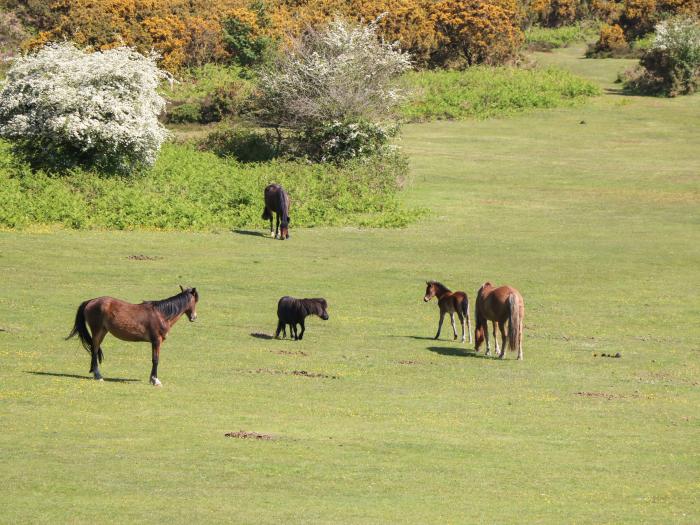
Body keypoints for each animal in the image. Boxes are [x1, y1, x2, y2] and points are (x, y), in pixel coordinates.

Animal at [66, 286, 198, 384]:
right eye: (195, 300)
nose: (194, 317)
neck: (161, 314)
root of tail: (91, 301)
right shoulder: (156, 341)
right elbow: (155, 360)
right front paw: (155, 380)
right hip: (97, 331)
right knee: (94, 350)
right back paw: (98, 376)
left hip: (102, 331)